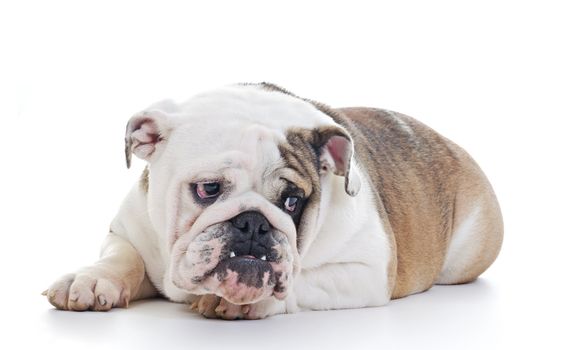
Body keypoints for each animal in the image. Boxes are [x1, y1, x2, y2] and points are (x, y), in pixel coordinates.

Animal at [41, 83, 504, 318]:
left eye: (293, 202)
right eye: (208, 189)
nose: (253, 222)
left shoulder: (367, 270)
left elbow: (300, 281)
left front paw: (239, 301)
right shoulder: (127, 231)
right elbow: (121, 257)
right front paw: (90, 279)